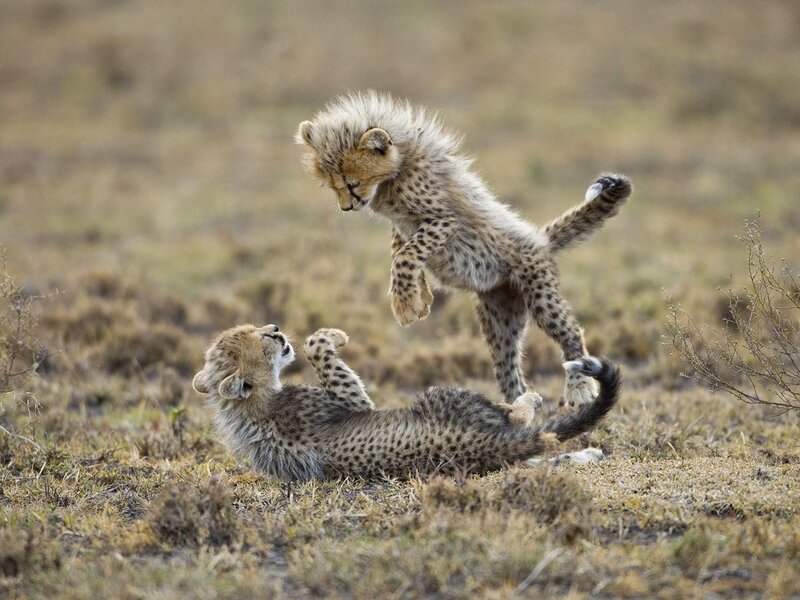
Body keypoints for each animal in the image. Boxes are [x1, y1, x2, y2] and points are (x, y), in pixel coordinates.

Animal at [191, 323, 621, 482]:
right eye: (261, 338)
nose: (277, 330)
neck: (252, 407)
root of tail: (478, 447)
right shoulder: (352, 402)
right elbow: (318, 350)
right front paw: (333, 336)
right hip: (443, 397)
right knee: (517, 421)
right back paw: (526, 399)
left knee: (540, 456)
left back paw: (589, 454)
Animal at [296, 91, 632, 408]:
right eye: (331, 185)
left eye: (351, 183)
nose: (346, 207)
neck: (398, 169)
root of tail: (539, 238)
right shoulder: (403, 225)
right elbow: (400, 250)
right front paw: (420, 298)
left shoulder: (443, 220)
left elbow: (407, 255)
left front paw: (405, 305)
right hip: (500, 320)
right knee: (509, 370)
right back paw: (516, 409)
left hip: (540, 295)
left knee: (571, 334)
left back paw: (579, 388)